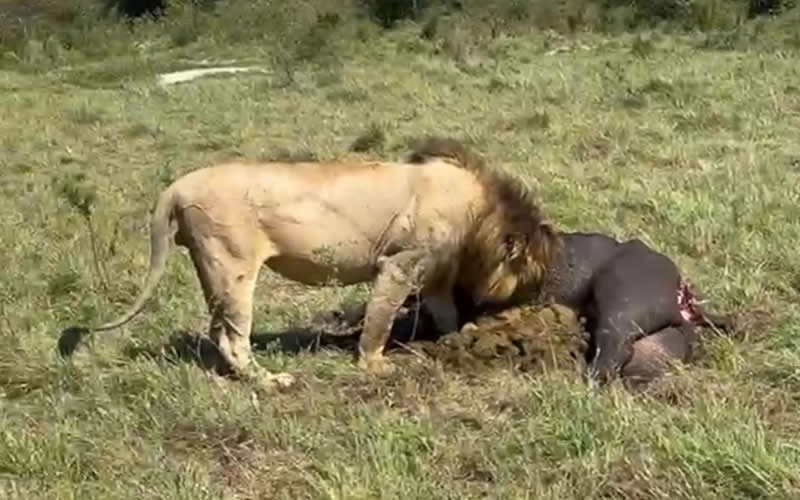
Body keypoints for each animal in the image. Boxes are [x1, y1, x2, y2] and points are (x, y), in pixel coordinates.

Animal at [65, 137, 559, 389]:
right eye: (528, 280)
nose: (532, 302)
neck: (481, 215)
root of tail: (177, 186)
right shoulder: (399, 265)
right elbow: (379, 319)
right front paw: (375, 365)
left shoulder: (434, 271)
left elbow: (445, 311)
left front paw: (457, 341)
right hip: (233, 266)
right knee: (234, 336)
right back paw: (270, 381)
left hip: (212, 270)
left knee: (217, 332)